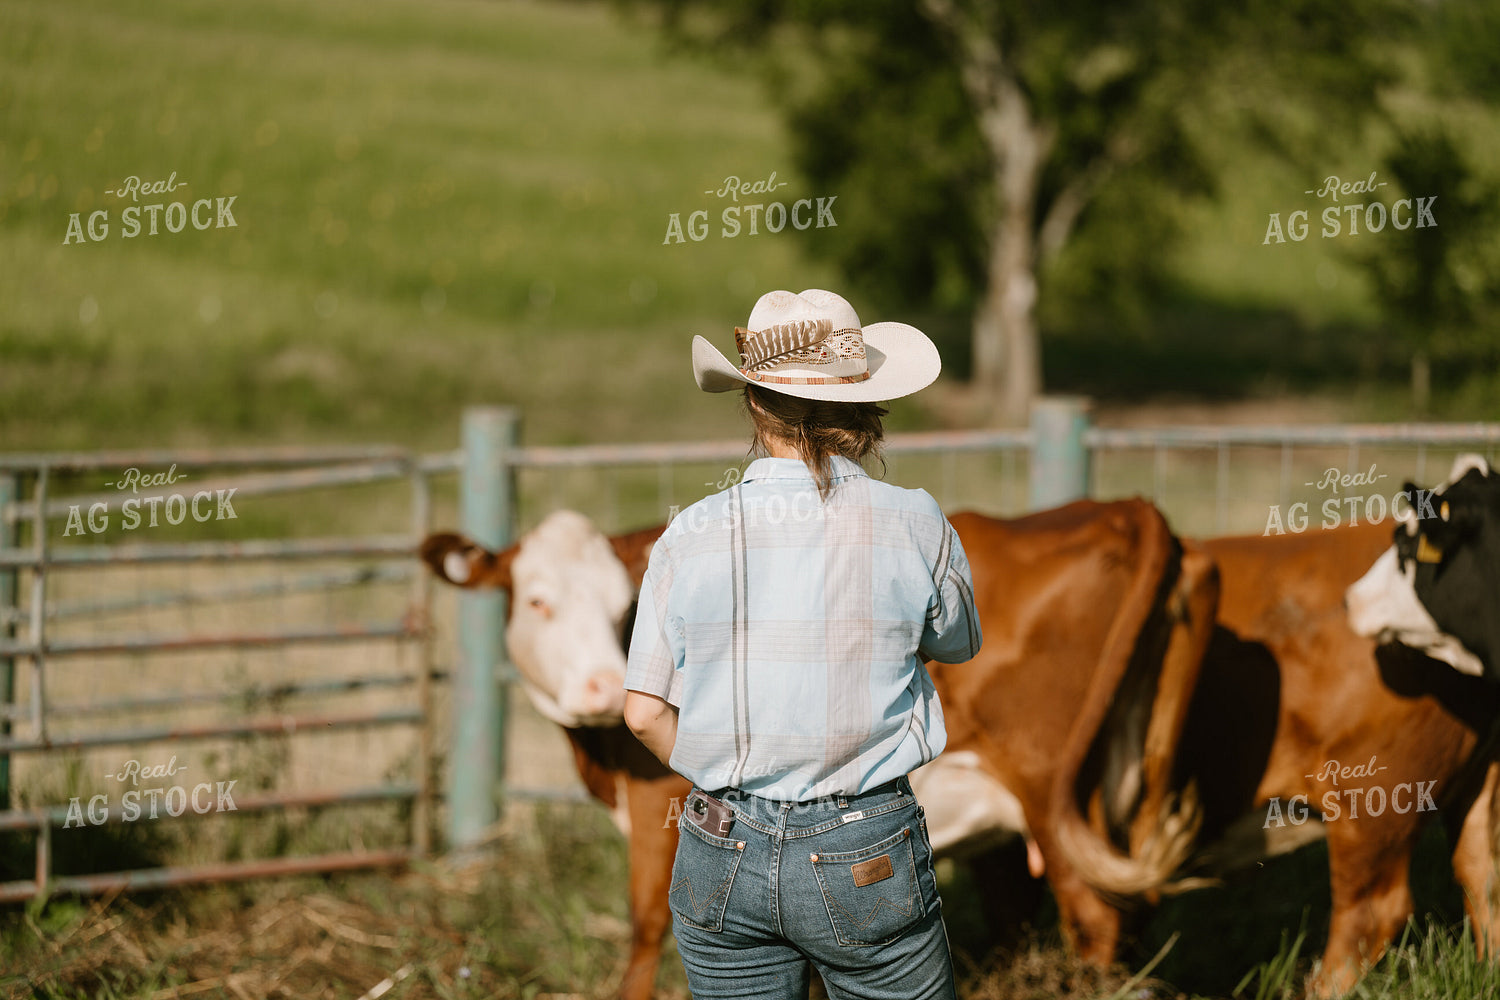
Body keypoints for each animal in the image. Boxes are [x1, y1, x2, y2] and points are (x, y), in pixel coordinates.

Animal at [420, 500, 1221, 998]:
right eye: (537, 601)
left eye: (625, 610)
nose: (599, 686)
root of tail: (1122, 508)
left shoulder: (664, 811)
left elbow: (646, 930)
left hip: (1051, 797)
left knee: (1095, 919)